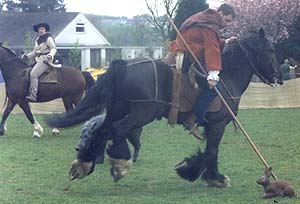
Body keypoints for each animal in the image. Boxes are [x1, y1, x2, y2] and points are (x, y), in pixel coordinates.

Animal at [47, 28, 282, 185]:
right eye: (270, 50)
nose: (278, 77)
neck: (226, 78)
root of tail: (123, 65)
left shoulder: (211, 125)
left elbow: (208, 151)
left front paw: (193, 170)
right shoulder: (217, 124)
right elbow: (212, 151)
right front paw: (213, 177)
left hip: (117, 110)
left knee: (103, 131)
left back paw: (84, 164)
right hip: (142, 113)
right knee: (118, 130)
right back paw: (120, 165)